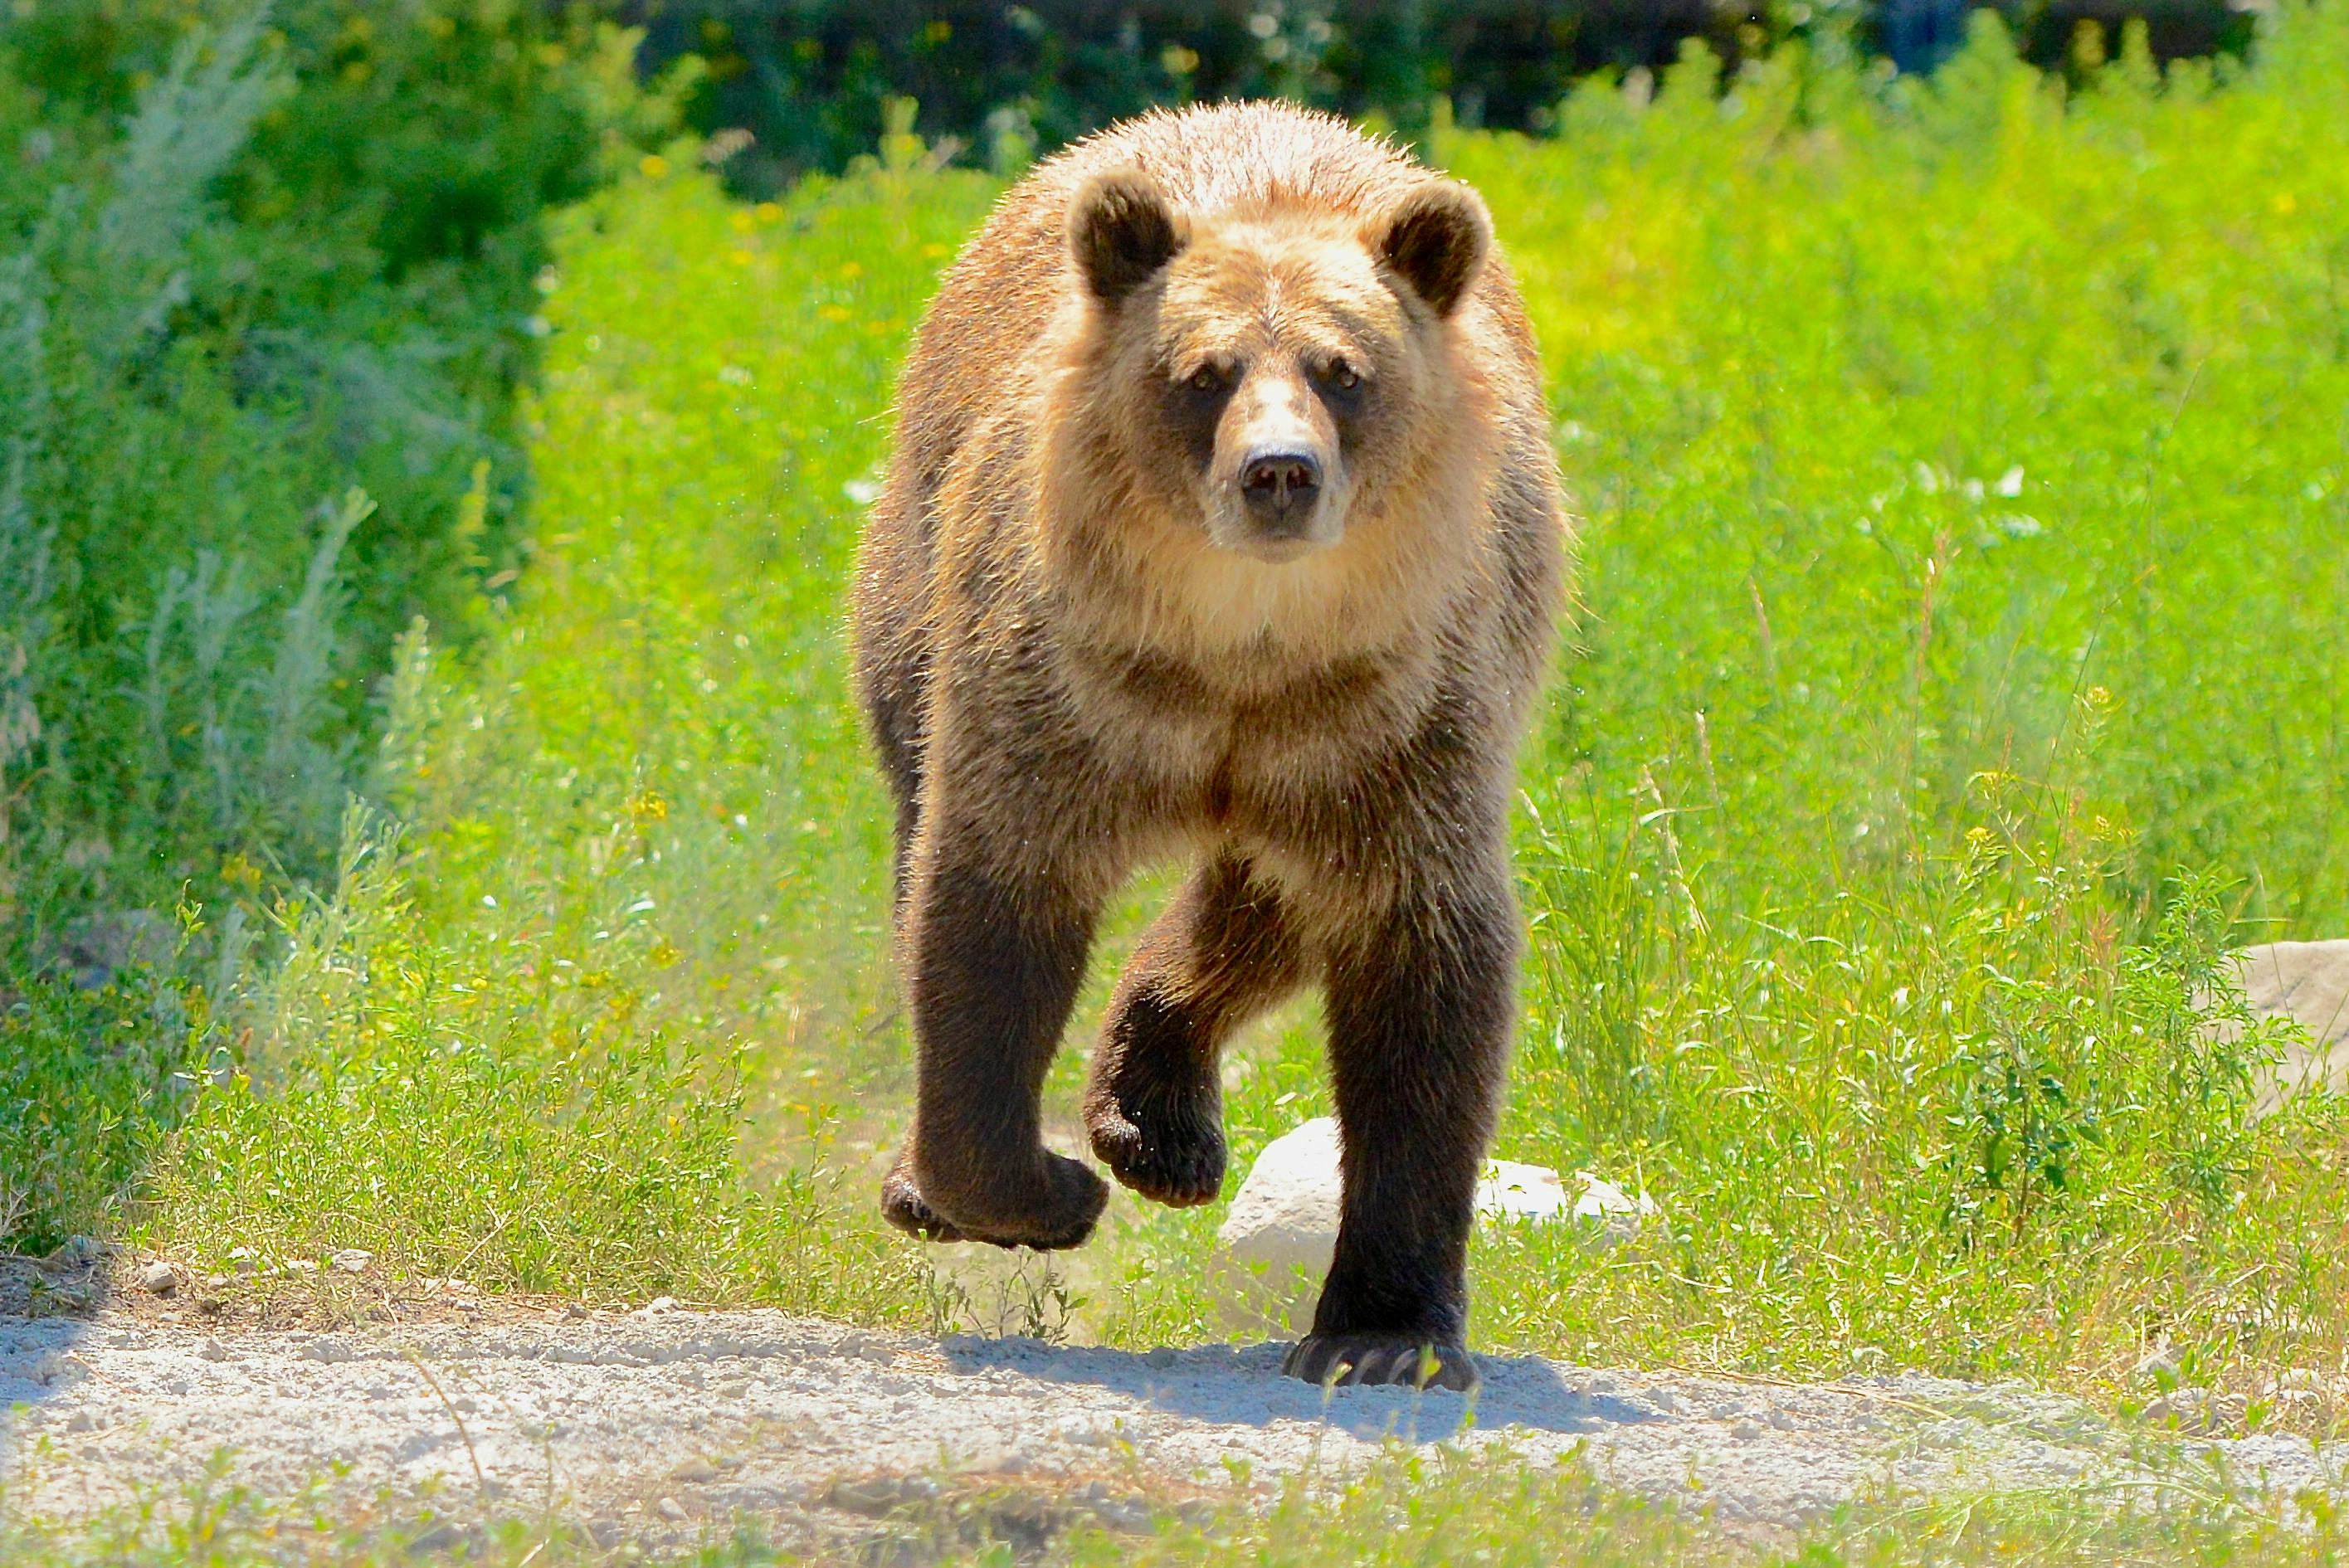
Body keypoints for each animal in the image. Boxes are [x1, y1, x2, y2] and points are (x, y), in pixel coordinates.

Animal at [850, 101, 1567, 1391]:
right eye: (1202, 371)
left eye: (1343, 369)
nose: (1278, 470)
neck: (1236, 644)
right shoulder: (1058, 688)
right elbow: (986, 911)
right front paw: (1037, 1192)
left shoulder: (1397, 718)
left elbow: (1421, 967)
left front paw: (1381, 1330)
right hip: (915, 575)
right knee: (918, 820)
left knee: (1266, 905)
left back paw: (1155, 1117)